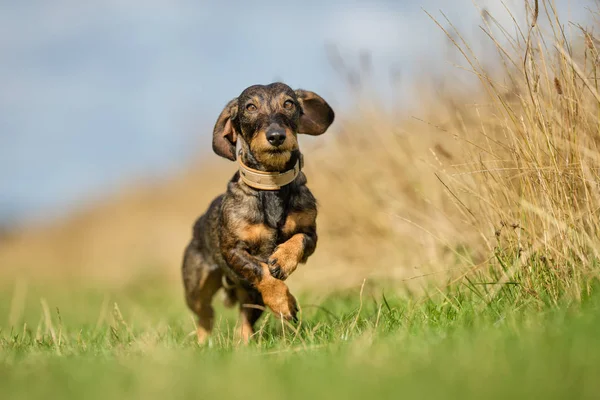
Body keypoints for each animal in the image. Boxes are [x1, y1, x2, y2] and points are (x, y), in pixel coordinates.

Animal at [180, 82, 336, 344]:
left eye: (289, 103)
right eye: (250, 107)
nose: (276, 136)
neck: (271, 185)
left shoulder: (311, 235)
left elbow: (299, 240)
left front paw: (282, 260)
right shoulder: (233, 250)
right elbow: (260, 270)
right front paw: (283, 301)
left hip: (252, 299)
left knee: (243, 322)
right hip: (196, 288)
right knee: (205, 315)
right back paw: (203, 344)